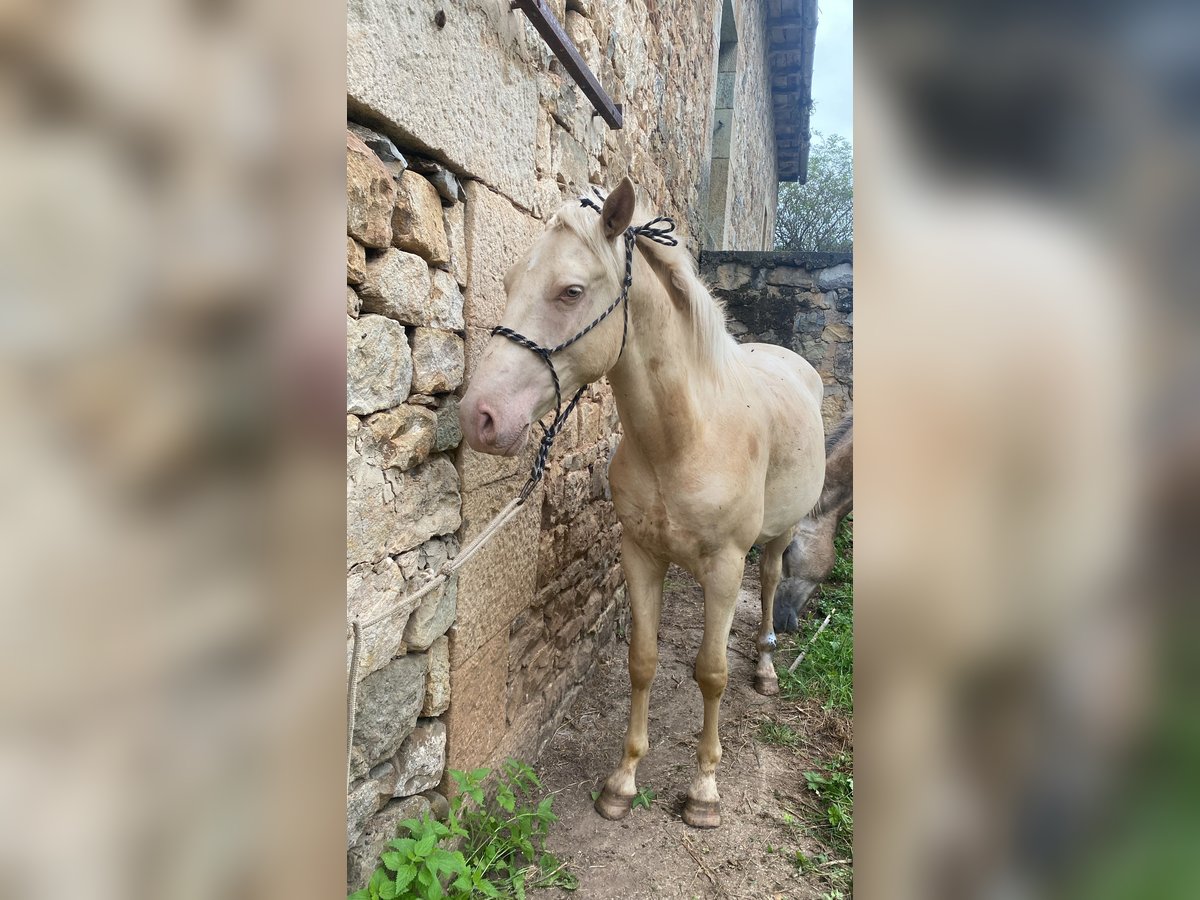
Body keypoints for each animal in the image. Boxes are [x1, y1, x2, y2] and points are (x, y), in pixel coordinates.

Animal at [458, 180, 825, 830]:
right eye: (507, 283)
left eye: (571, 291)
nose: (481, 417)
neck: (684, 437)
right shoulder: (641, 555)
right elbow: (643, 660)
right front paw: (623, 780)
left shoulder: (724, 567)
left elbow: (712, 672)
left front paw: (704, 790)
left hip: (778, 536)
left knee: (770, 581)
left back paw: (765, 667)